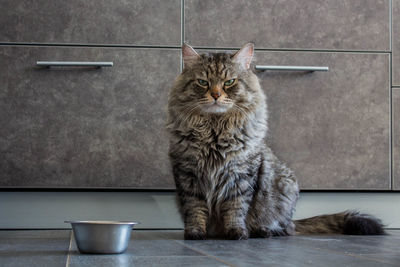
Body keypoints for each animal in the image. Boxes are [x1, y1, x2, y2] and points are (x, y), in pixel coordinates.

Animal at [166, 44, 384, 241]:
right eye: (202, 82)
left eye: (230, 82)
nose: (216, 95)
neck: (215, 131)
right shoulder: (188, 175)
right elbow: (195, 209)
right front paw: (195, 233)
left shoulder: (241, 175)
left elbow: (235, 208)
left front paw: (237, 232)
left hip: (285, 189)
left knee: (283, 228)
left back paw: (264, 231)